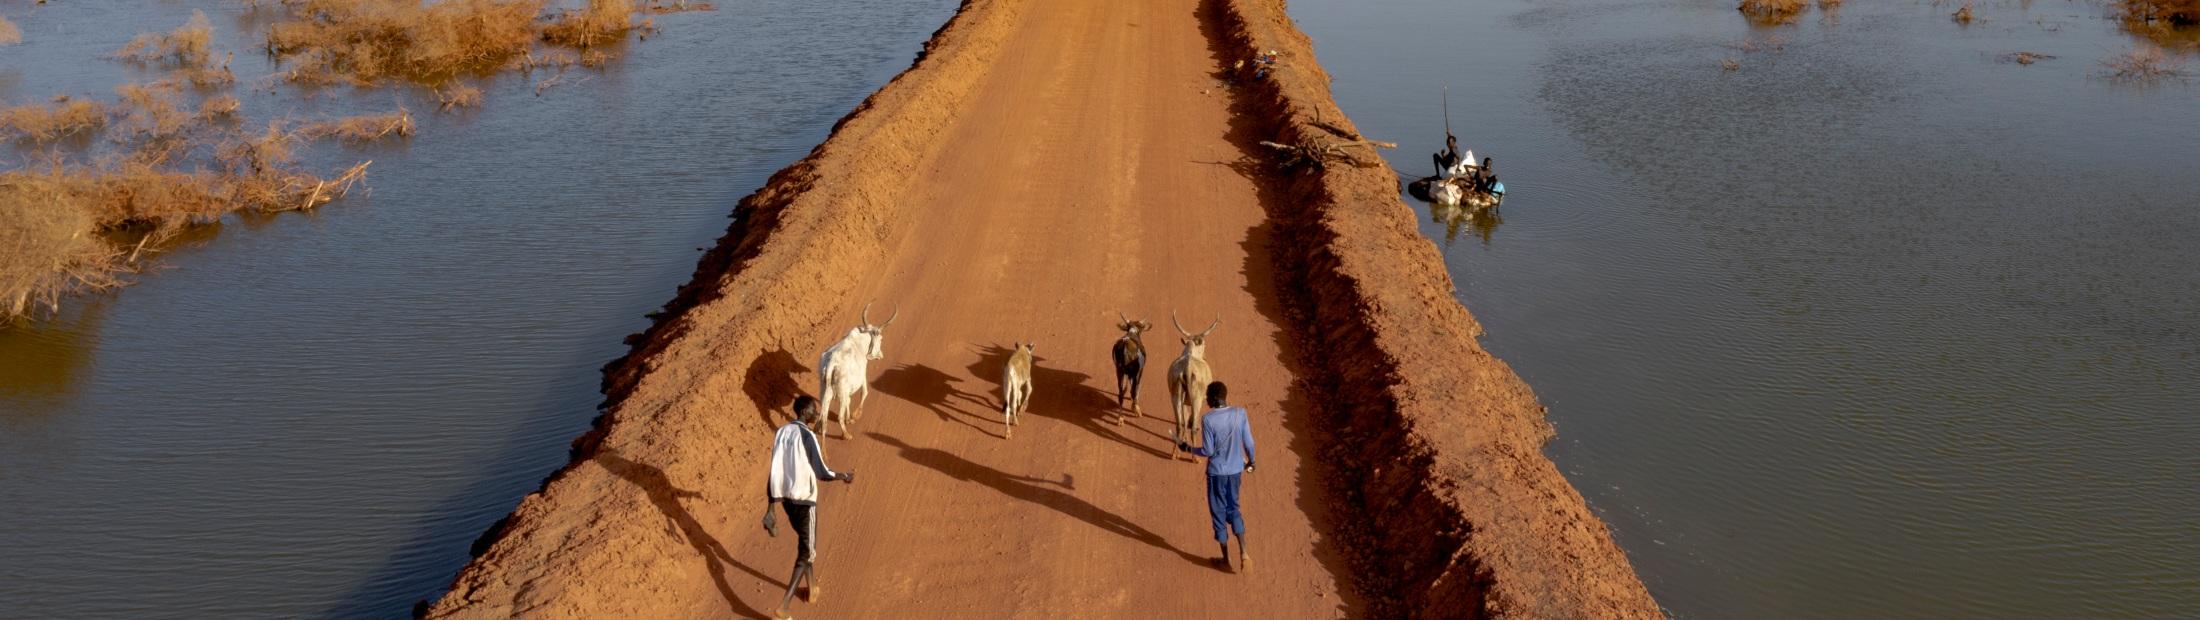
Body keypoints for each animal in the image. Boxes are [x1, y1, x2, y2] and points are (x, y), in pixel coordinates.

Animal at [818, 303, 893, 437]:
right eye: (881, 339)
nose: (881, 355)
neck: (861, 341)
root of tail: (832, 364)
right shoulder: (862, 375)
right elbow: (864, 393)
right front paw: (855, 415)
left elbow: (850, 400)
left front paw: (849, 418)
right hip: (841, 392)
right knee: (839, 416)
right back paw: (846, 435)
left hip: (824, 390)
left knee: (824, 415)